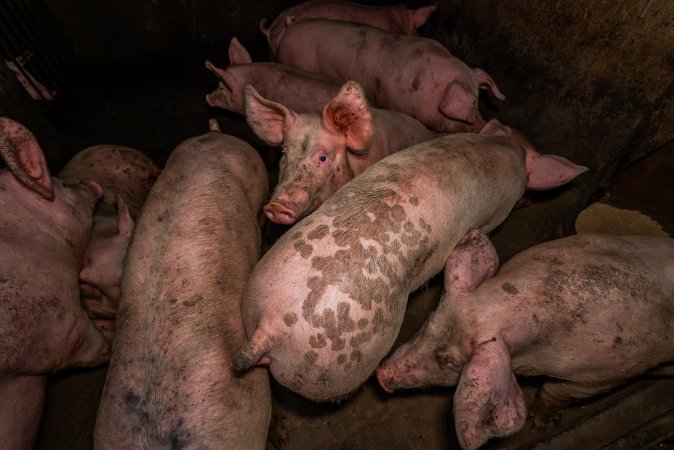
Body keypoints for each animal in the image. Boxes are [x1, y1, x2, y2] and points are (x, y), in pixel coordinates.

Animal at [233, 119, 588, 402]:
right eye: (525, 193)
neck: (507, 147)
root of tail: (272, 324)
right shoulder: (496, 215)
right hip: (340, 364)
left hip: (260, 288)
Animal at [375, 233, 674, 450]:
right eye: (428, 322)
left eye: (449, 360)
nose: (380, 375)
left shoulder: (603, 374)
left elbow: (555, 391)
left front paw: (538, 423)